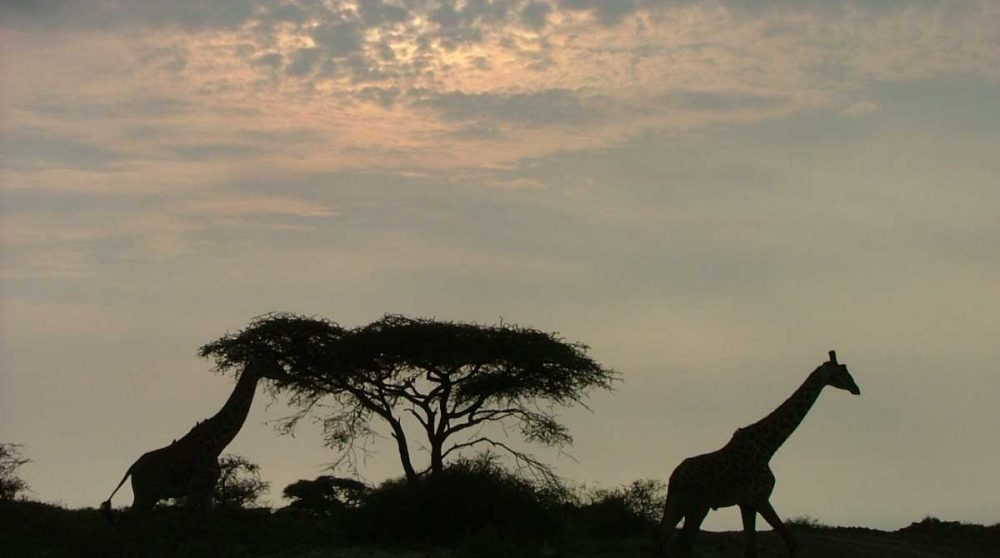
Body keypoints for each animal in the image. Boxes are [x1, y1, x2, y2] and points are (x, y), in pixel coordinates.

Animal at [101, 357, 285, 519]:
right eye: (270, 362)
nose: (285, 374)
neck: (217, 443)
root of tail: (132, 468)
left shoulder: (208, 488)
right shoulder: (196, 487)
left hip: (149, 496)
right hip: (145, 494)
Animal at [653, 351, 860, 558]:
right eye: (841, 372)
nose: (856, 388)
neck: (767, 448)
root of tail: (675, 476)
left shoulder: (747, 503)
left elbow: (752, 547)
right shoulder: (760, 498)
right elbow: (790, 541)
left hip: (679, 503)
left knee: (664, 538)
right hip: (699, 505)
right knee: (682, 544)